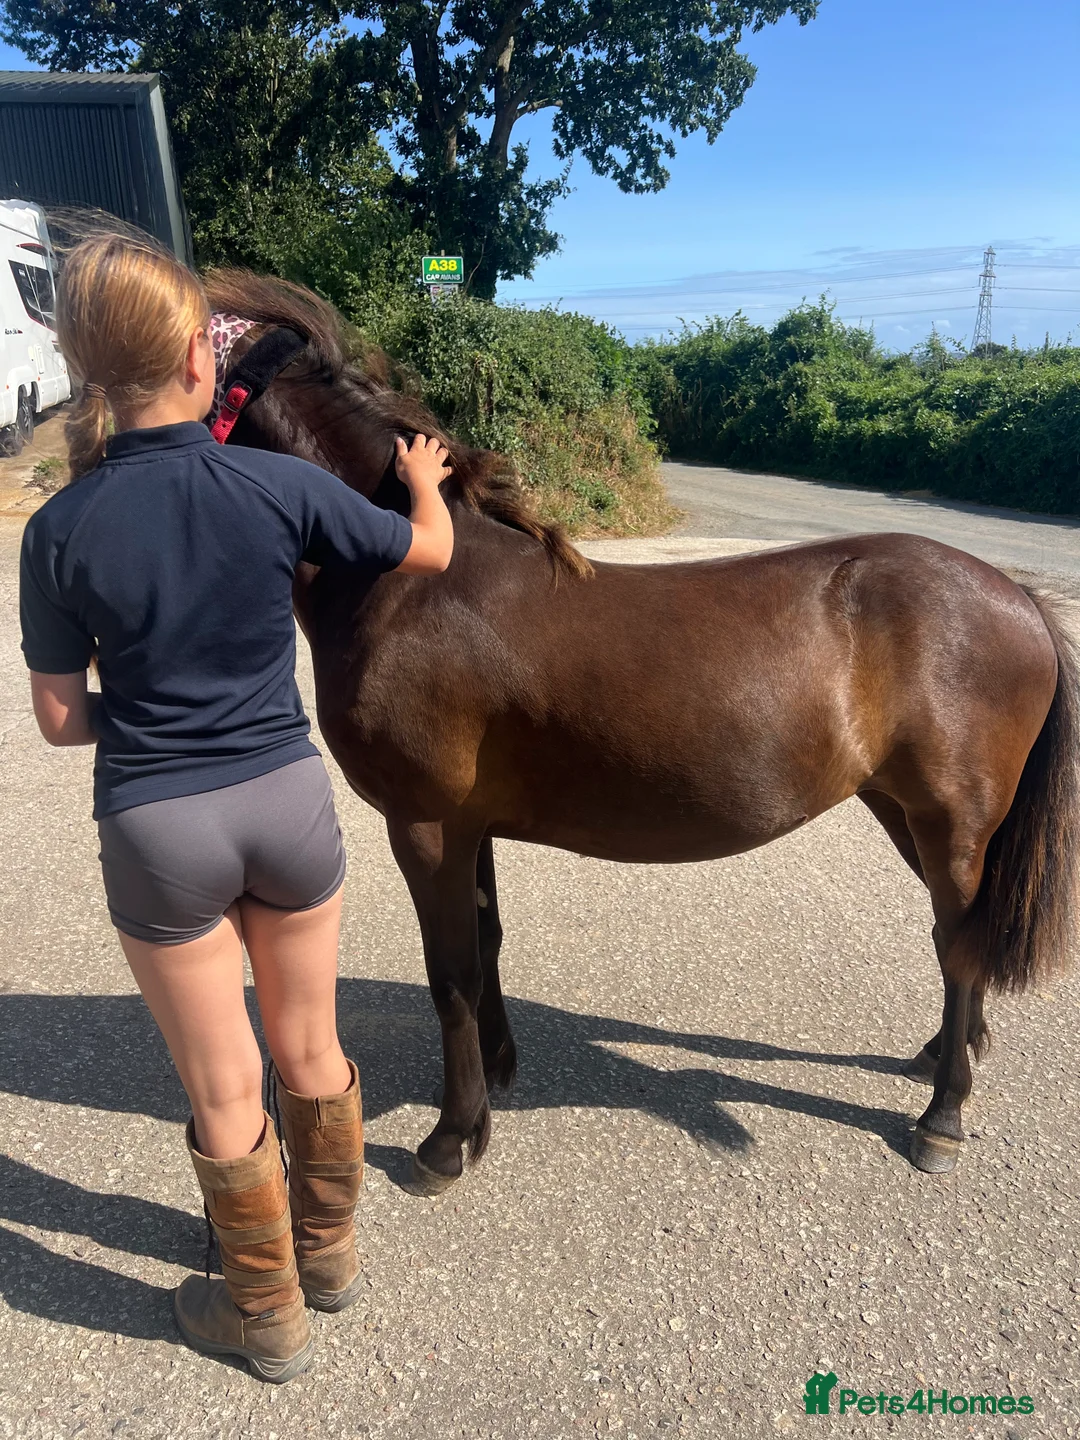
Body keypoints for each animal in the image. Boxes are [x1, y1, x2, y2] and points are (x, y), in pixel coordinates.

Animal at [204, 269, 1080, 1193]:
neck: (413, 576)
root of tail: (1022, 597)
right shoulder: (470, 825)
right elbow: (487, 944)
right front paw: (498, 1076)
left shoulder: (426, 823)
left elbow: (452, 976)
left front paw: (450, 1139)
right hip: (907, 814)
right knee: (962, 939)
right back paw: (946, 1054)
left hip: (951, 822)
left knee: (960, 947)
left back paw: (942, 1114)